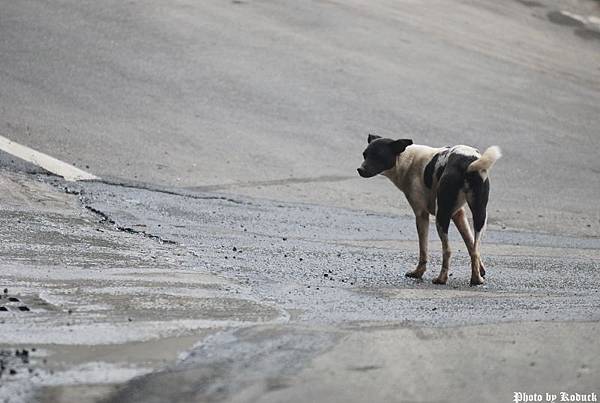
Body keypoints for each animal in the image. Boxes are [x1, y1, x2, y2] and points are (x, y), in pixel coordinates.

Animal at [358, 136, 500, 288]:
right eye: (365, 155)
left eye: (378, 156)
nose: (359, 169)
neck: (406, 159)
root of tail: (467, 162)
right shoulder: (458, 214)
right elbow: (470, 243)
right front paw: (480, 270)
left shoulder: (421, 214)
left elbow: (423, 249)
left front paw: (418, 273)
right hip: (480, 215)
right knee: (475, 248)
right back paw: (476, 279)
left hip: (441, 216)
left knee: (447, 250)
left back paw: (441, 279)